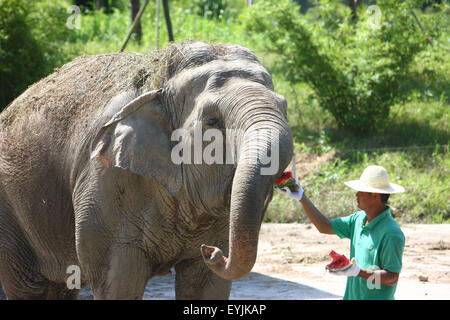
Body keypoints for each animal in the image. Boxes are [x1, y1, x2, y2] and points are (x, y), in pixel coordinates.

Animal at [0, 40, 294, 300]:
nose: (212, 252)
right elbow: (119, 280)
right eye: (212, 120)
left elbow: (207, 285)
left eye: (284, 107)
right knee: (28, 286)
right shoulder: (104, 180)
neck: (160, 86)